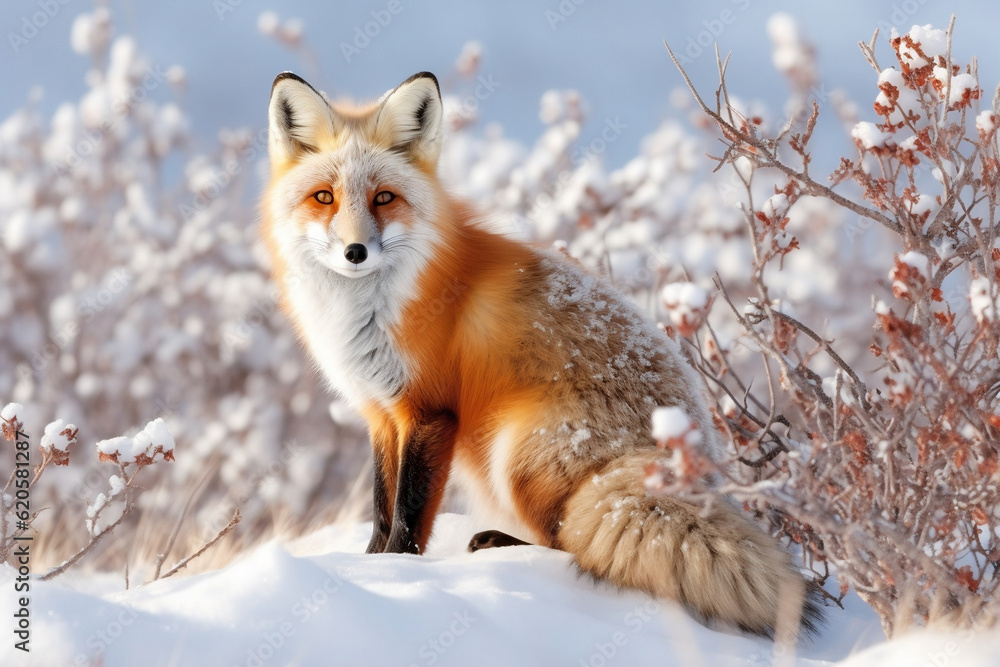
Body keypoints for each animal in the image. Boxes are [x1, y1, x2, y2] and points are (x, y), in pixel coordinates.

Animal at [260, 70, 823, 638]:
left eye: (384, 198)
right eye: (324, 197)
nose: (355, 252)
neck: (374, 310)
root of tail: (692, 460)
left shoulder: (430, 412)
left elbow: (409, 512)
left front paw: (395, 571)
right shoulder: (381, 412)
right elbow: (380, 505)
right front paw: (364, 565)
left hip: (513, 452)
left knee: (568, 543)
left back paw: (499, 543)